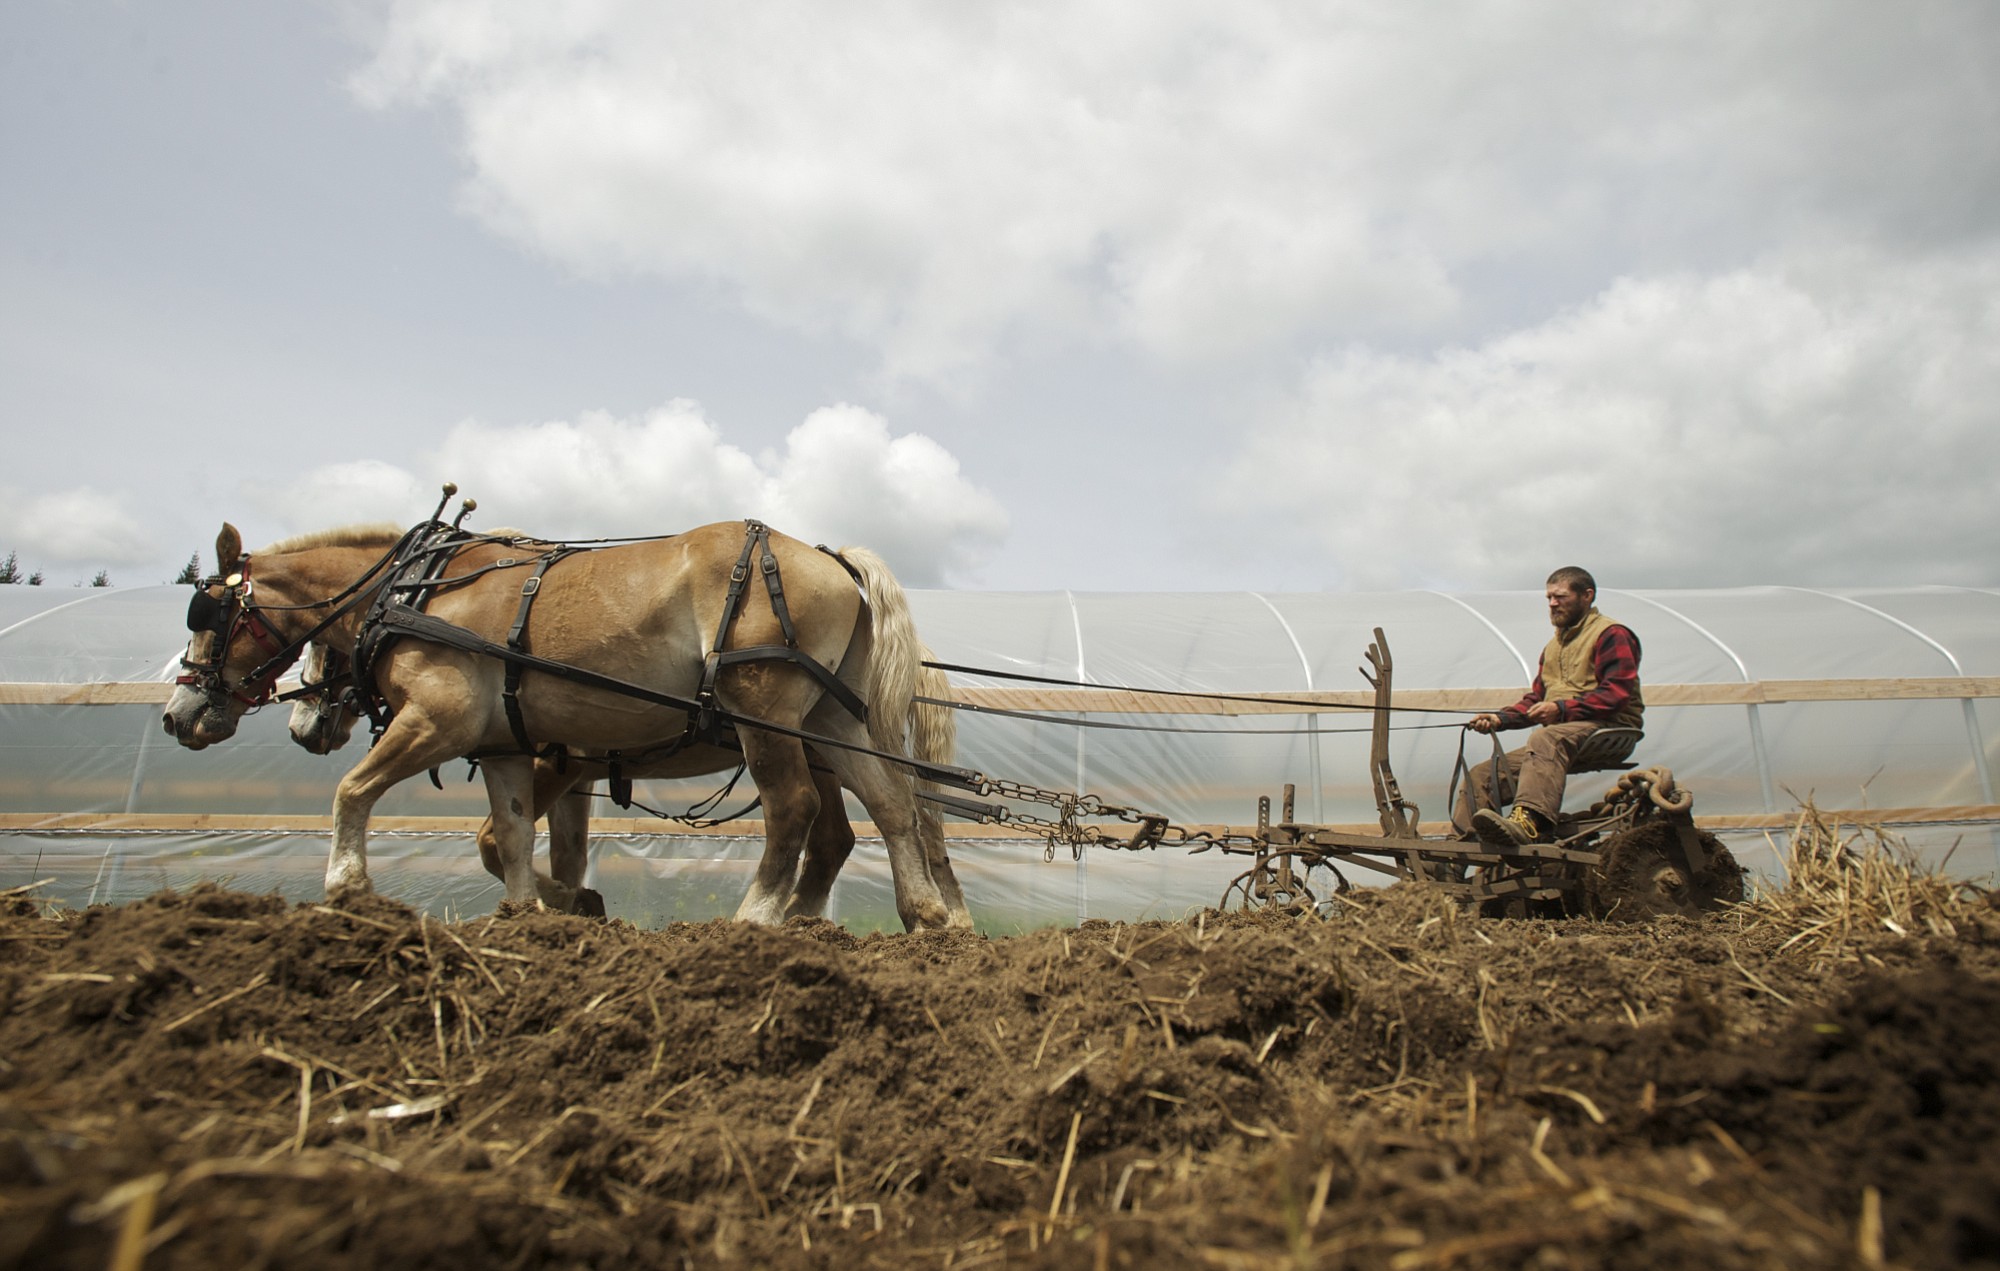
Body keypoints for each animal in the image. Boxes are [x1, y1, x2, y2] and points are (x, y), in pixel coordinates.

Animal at [164, 511, 960, 927]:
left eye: (207, 613)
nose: (179, 716)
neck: (418, 593)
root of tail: (831, 557)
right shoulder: (508, 745)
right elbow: (511, 836)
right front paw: (535, 914)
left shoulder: (443, 719)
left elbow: (355, 792)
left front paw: (347, 887)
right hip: (826, 720)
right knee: (890, 804)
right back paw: (924, 913)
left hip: (763, 715)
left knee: (795, 810)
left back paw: (757, 918)